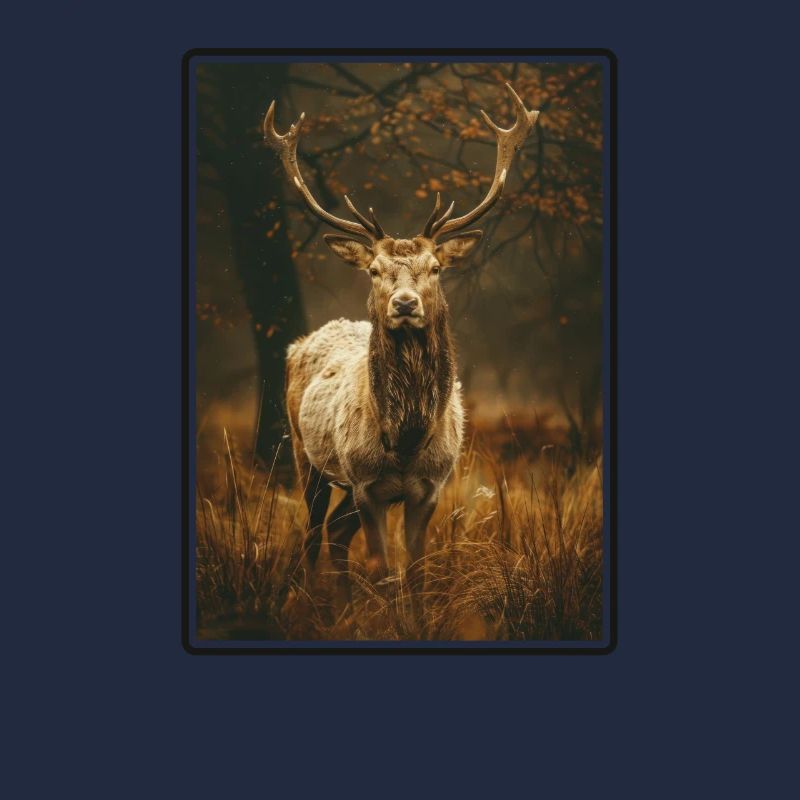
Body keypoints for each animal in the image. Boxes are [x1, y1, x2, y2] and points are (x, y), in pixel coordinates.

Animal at [263, 83, 539, 608]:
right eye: (374, 270)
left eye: (436, 267)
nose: (406, 303)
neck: (406, 436)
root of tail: (295, 346)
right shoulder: (366, 485)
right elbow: (382, 569)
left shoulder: (429, 488)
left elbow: (414, 571)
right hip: (305, 456)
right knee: (312, 533)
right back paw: (314, 601)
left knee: (335, 532)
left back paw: (343, 606)